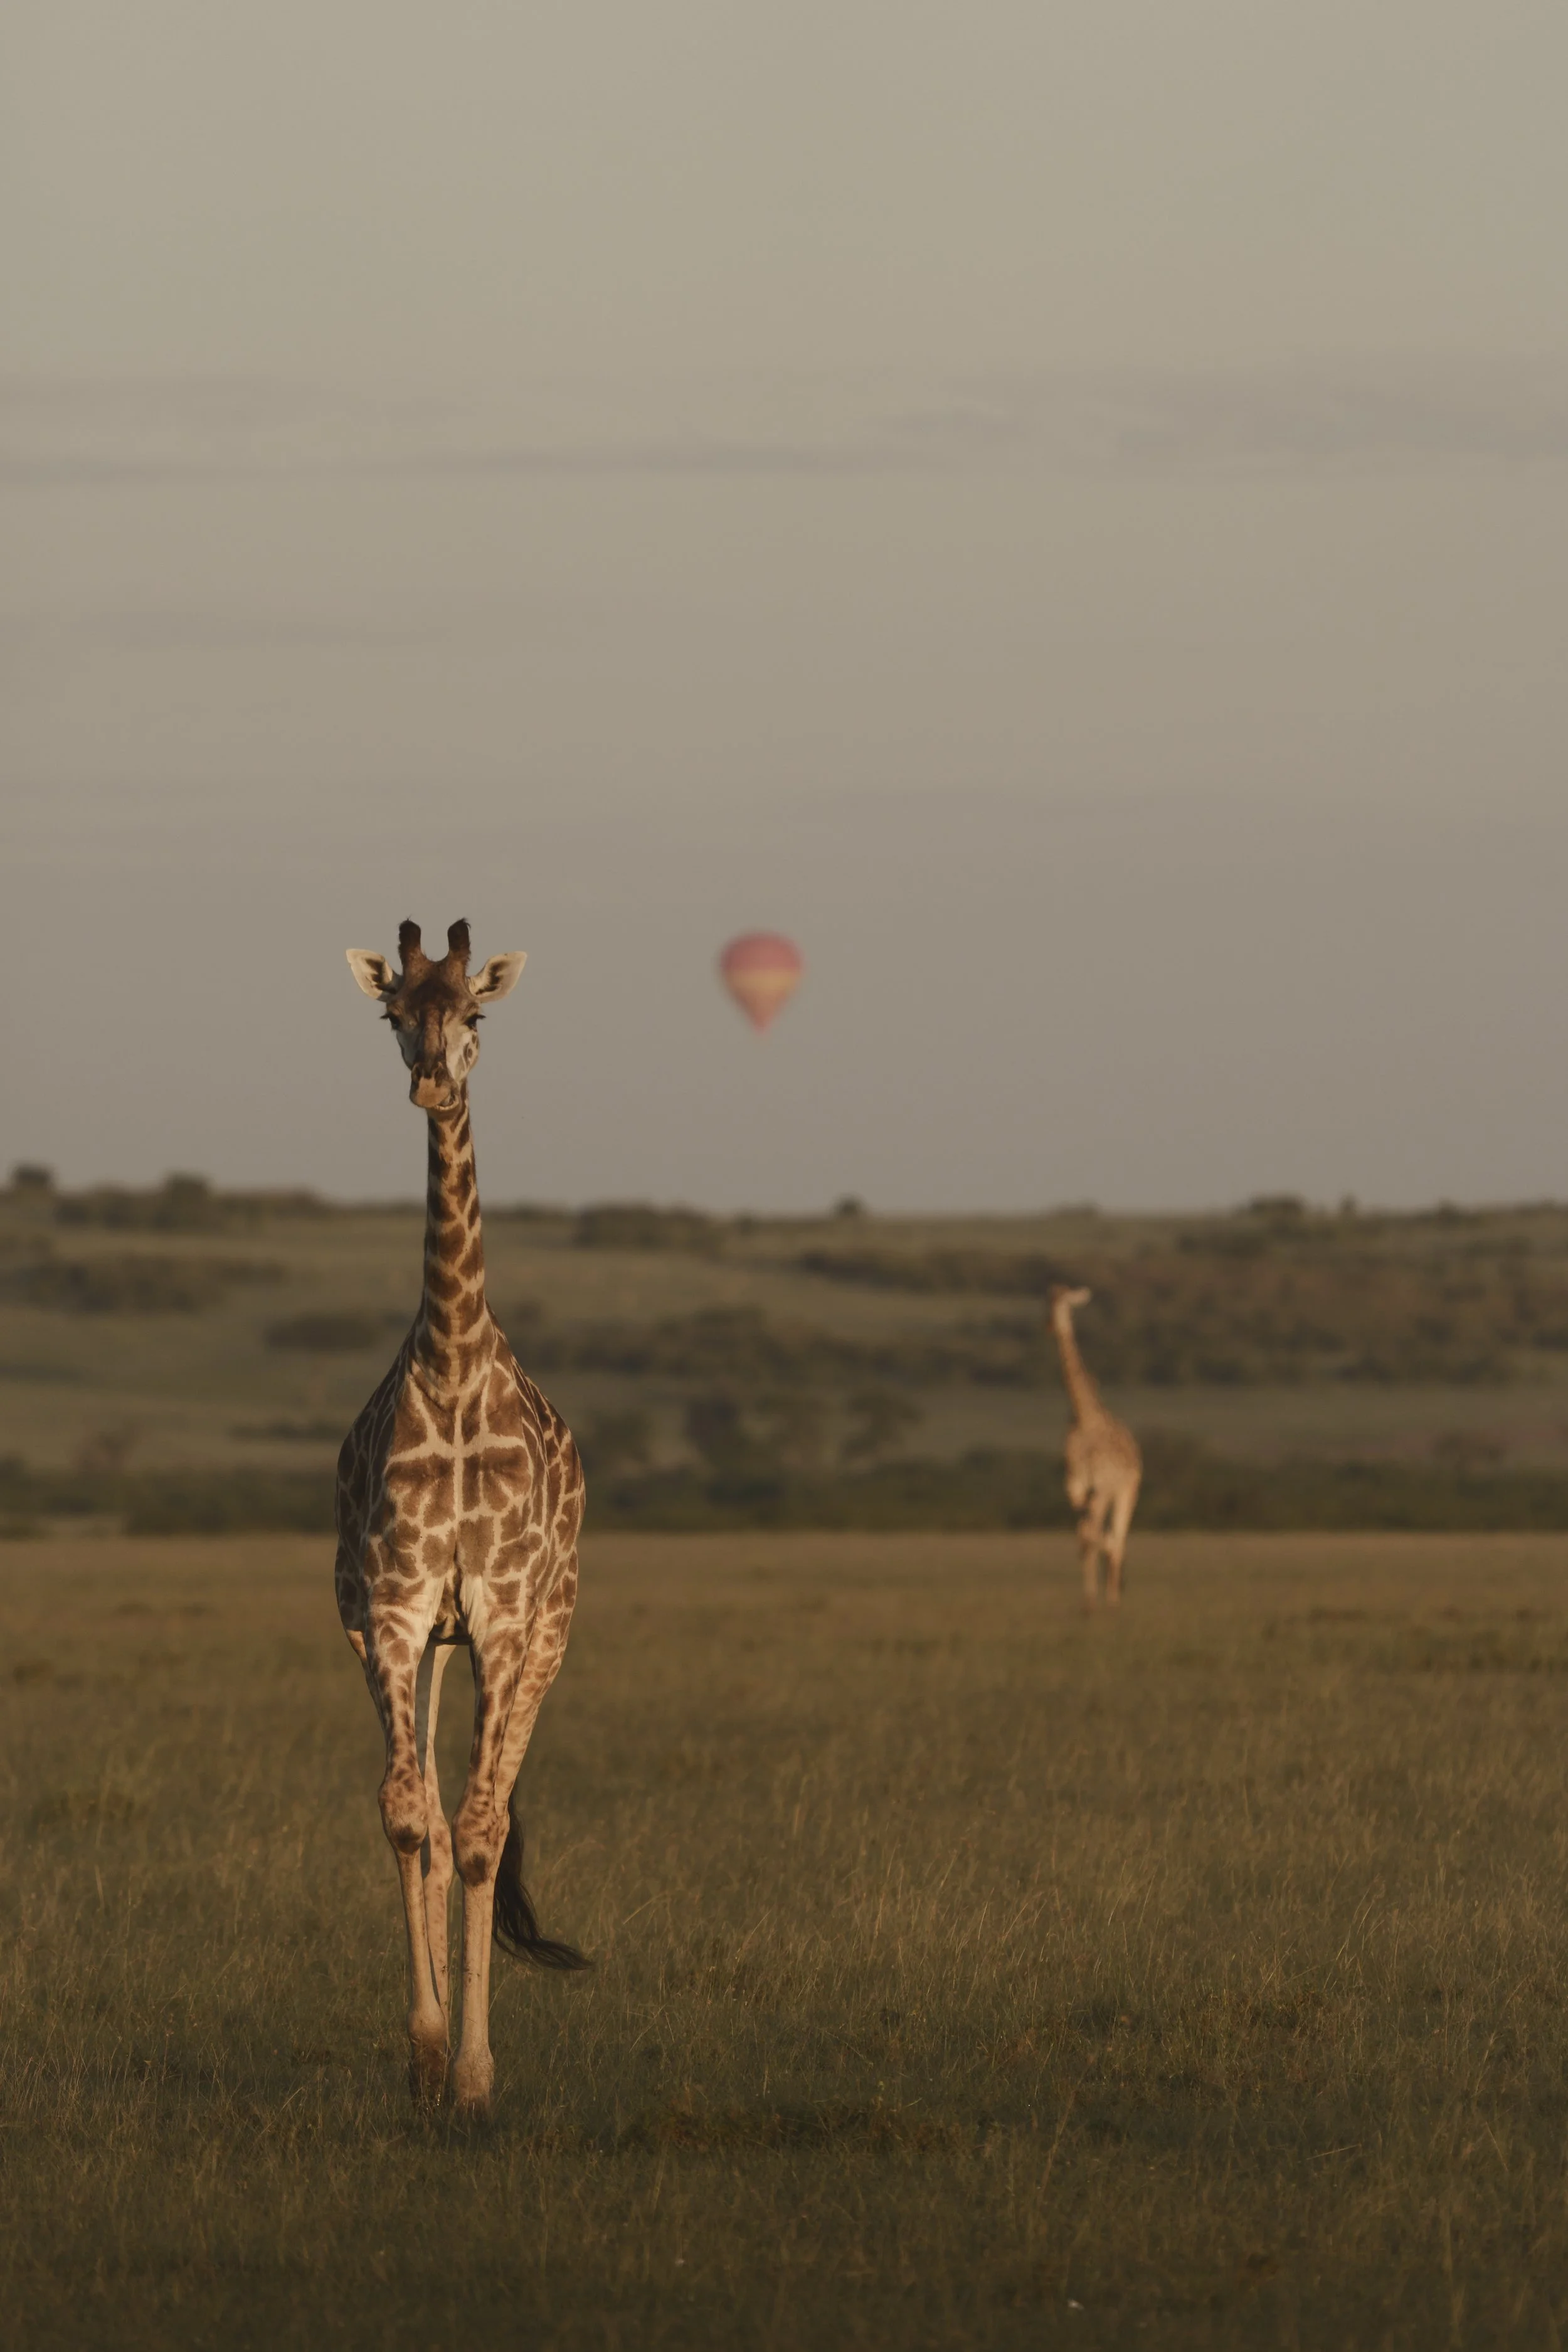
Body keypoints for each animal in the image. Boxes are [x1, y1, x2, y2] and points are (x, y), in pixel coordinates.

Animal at [1049, 1284, 1141, 1609]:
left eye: (1068, 1303)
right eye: (1048, 1300)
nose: (1053, 1325)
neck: (1083, 1416)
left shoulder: (1100, 1488)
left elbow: (1098, 1538)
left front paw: (1099, 1597)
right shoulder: (1076, 1489)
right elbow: (1085, 1538)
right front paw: (1089, 1600)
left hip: (1127, 1491)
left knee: (1119, 1537)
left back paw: (1113, 1598)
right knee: (1100, 1533)